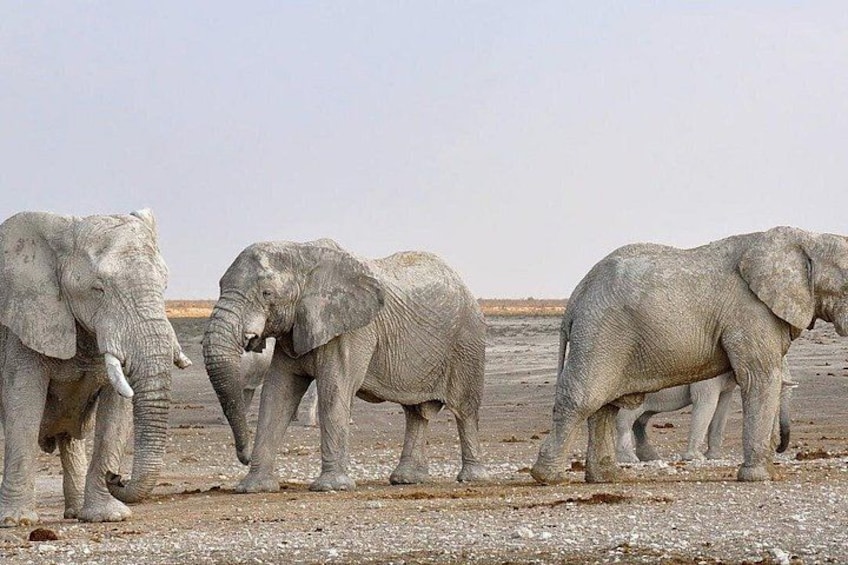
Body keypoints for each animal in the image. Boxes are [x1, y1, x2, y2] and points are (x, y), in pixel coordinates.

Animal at [0, 210, 191, 526]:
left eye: (164, 286)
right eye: (98, 289)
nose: (118, 477)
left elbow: (115, 415)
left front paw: (108, 516)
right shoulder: (23, 325)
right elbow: (23, 406)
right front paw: (17, 521)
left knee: (69, 440)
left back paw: (75, 513)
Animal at [203, 239, 488, 492]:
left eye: (267, 293)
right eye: (220, 286)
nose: (244, 457)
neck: (301, 253)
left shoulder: (353, 330)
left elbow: (334, 389)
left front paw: (331, 487)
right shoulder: (294, 330)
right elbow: (277, 394)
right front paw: (253, 488)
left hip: (467, 341)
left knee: (464, 409)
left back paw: (471, 478)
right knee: (416, 413)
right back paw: (406, 480)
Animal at [615, 365, 796, 463]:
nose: (778, 448)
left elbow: (722, 407)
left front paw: (713, 457)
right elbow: (706, 402)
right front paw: (696, 458)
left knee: (640, 421)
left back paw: (650, 457)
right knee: (626, 419)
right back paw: (629, 459)